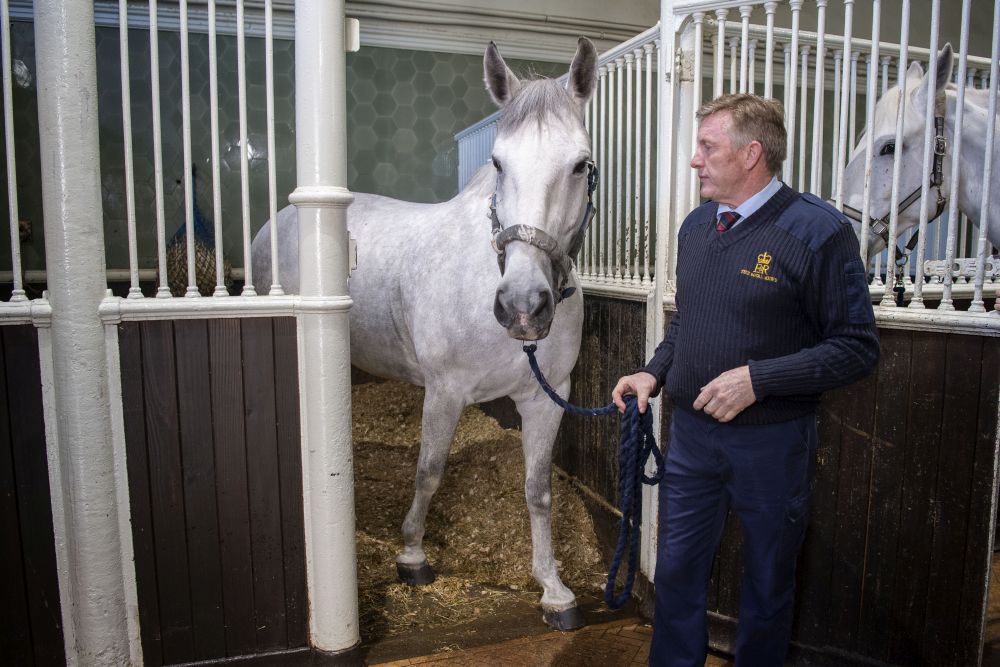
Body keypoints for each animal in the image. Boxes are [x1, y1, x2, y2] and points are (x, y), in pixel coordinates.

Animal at [250, 39, 596, 628]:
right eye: (498, 162)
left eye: (579, 165)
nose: (522, 306)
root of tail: (279, 220)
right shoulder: (445, 392)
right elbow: (429, 472)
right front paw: (411, 556)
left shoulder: (546, 398)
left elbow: (538, 489)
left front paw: (553, 588)